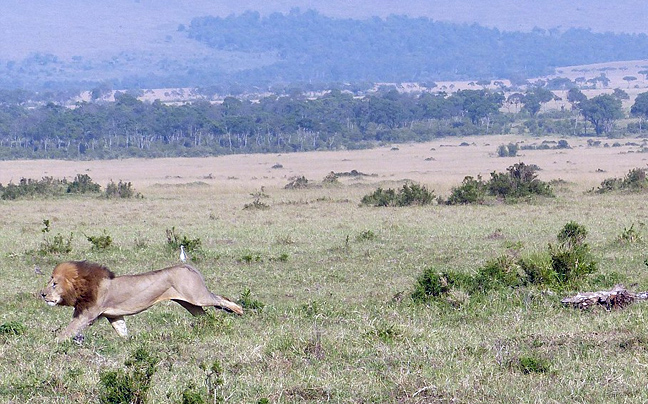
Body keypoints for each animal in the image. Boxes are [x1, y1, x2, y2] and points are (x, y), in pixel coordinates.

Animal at [41, 258, 243, 340]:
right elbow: (122, 330)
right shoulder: (114, 316)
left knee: (220, 298)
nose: (42, 294)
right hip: (190, 304)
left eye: (54, 284)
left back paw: (239, 310)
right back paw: (208, 327)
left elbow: (68, 331)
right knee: (205, 316)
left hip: (197, 297)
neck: (82, 285)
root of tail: (189, 267)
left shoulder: (86, 315)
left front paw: (51, 343)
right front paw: (128, 342)